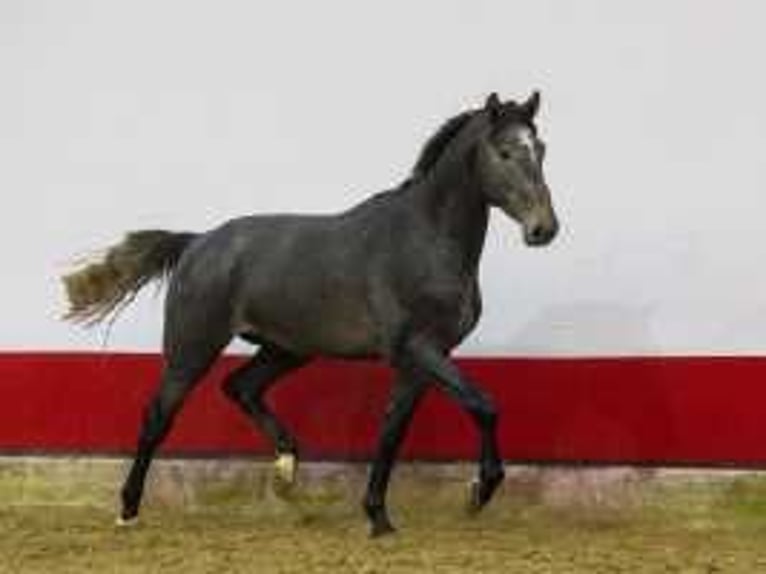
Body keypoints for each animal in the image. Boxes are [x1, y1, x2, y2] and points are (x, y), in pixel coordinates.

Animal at [61, 92, 560, 536]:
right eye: (504, 152)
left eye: (541, 148)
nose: (544, 229)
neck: (424, 241)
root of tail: (196, 242)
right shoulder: (416, 347)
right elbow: (483, 405)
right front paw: (477, 493)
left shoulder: (423, 360)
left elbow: (393, 430)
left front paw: (379, 517)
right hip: (192, 348)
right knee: (158, 417)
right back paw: (128, 511)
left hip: (286, 348)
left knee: (240, 387)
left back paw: (286, 469)